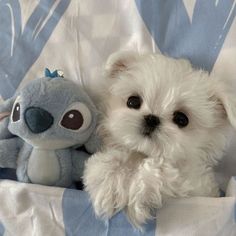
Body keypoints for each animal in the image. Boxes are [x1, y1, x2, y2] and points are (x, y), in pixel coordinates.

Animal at [83, 51, 236, 229]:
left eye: (182, 119)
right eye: (133, 101)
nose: (151, 119)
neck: (143, 154)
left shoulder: (194, 187)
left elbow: (161, 170)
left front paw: (135, 200)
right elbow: (105, 163)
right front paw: (110, 190)